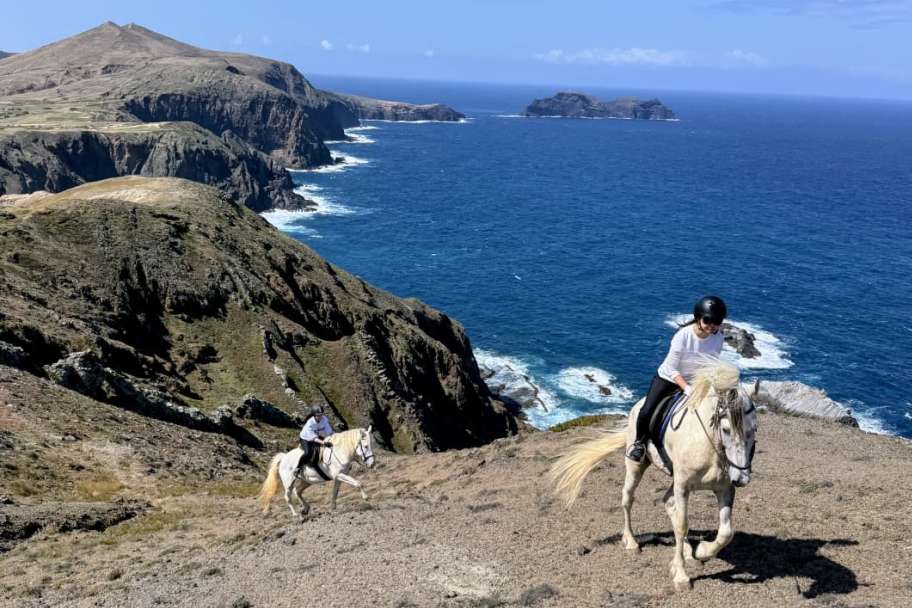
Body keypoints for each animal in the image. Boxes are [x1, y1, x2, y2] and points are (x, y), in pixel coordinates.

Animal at [551, 360, 758, 592]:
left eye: (754, 429)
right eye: (726, 429)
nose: (742, 479)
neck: (708, 445)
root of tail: (636, 406)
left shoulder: (724, 488)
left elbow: (726, 532)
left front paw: (702, 551)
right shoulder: (683, 486)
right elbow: (682, 524)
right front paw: (681, 576)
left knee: (668, 503)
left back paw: (687, 549)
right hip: (636, 465)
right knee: (628, 498)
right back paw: (631, 542)